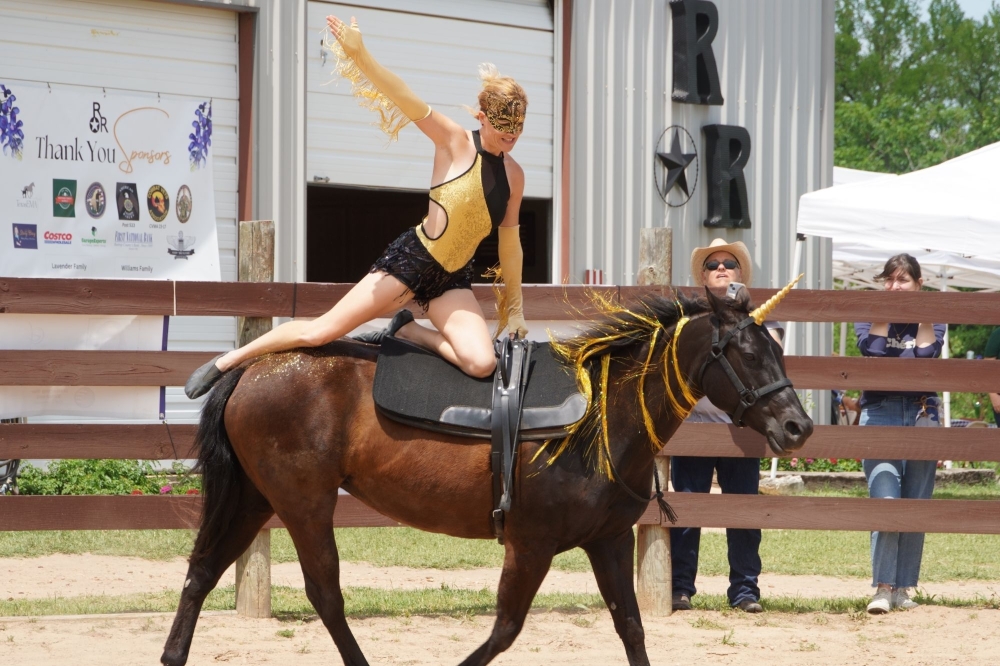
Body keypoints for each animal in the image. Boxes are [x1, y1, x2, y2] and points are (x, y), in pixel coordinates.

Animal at [158, 286, 812, 664]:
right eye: (747, 354)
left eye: (778, 349)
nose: (798, 426)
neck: (600, 416)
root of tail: (250, 370)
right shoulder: (531, 544)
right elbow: (505, 630)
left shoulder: (608, 540)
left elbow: (630, 627)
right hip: (302, 504)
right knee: (325, 593)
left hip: (253, 499)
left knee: (201, 572)